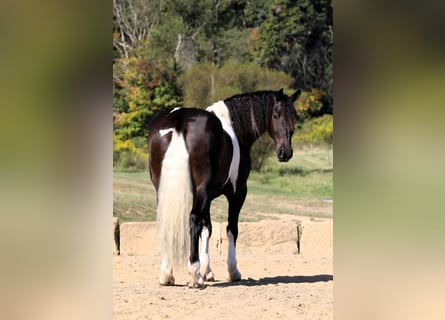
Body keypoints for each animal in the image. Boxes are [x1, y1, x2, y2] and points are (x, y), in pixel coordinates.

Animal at [147, 87, 300, 288]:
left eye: (295, 116)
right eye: (276, 114)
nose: (285, 153)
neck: (234, 126)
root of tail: (180, 120)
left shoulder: (208, 196)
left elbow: (207, 228)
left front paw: (207, 271)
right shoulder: (237, 192)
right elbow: (230, 229)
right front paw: (232, 271)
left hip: (162, 188)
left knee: (168, 220)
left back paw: (167, 274)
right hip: (202, 190)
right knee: (193, 220)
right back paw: (194, 275)